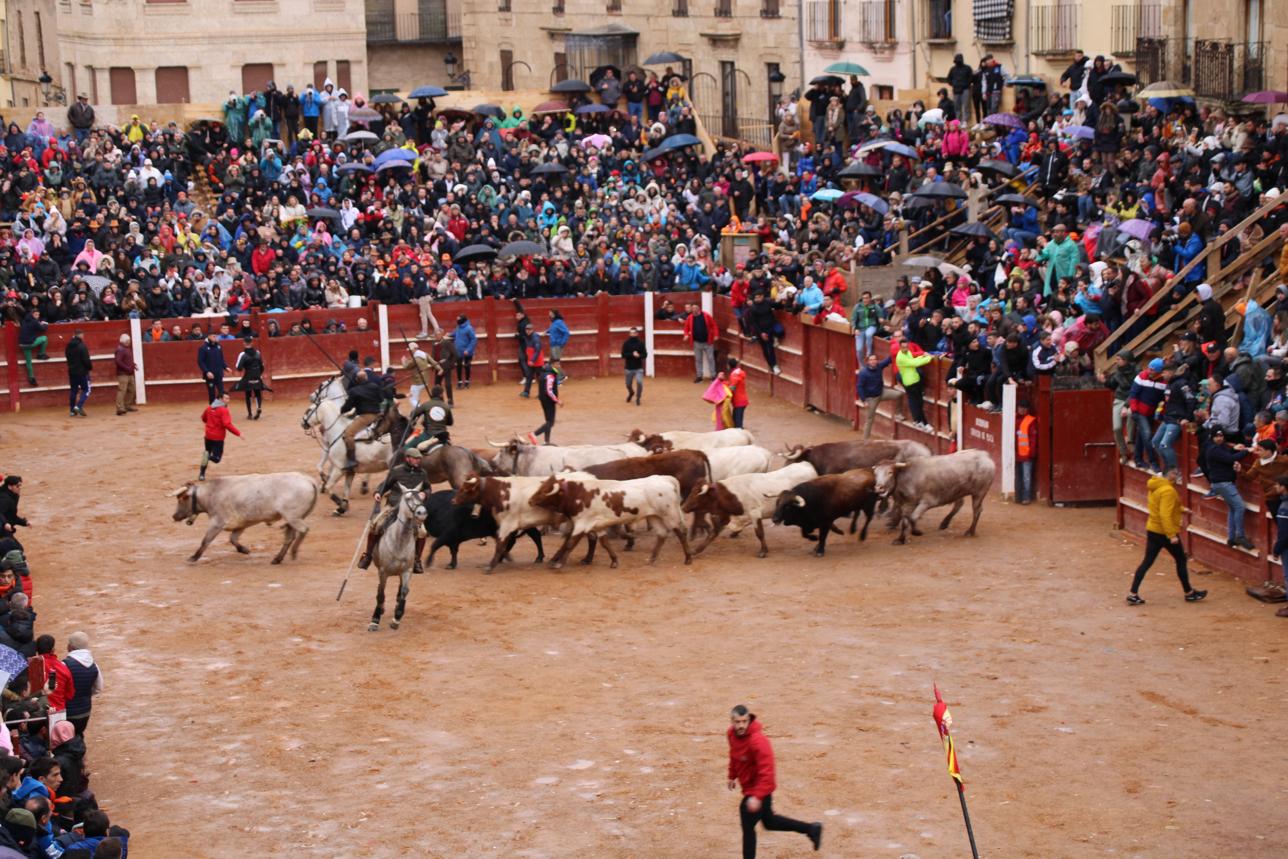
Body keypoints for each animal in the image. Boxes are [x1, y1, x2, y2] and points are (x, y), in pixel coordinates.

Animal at [171, 471, 319, 564]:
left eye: (181, 499)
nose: (174, 516)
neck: (211, 494)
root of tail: (308, 480)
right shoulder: (240, 524)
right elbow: (233, 539)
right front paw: (244, 550)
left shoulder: (216, 523)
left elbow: (205, 541)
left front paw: (194, 557)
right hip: (292, 519)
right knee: (289, 537)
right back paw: (278, 559)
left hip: (293, 517)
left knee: (303, 530)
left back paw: (293, 552)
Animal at [301, 386, 391, 515]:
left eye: (309, 410)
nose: (302, 423)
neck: (337, 430)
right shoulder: (349, 471)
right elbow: (346, 489)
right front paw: (342, 508)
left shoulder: (339, 468)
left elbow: (329, 486)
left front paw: (339, 504)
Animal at [530, 473, 695, 566]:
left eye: (544, 491)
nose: (530, 500)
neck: (579, 494)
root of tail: (666, 479)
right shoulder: (597, 526)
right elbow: (605, 543)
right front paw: (614, 561)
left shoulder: (582, 524)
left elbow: (570, 542)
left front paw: (559, 562)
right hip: (654, 517)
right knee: (661, 534)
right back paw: (652, 559)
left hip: (670, 514)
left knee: (680, 532)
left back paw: (688, 558)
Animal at [685, 463, 814, 558]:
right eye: (692, 491)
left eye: (697, 494)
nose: (684, 507)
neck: (732, 495)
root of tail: (807, 466)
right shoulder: (726, 516)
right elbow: (713, 534)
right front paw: (696, 550)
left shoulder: (754, 513)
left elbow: (759, 533)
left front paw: (763, 551)